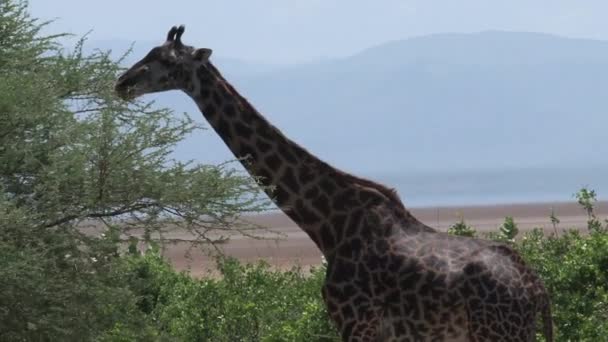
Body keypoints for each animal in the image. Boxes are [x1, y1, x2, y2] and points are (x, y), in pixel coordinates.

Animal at [113, 25, 552, 340]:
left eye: (164, 59)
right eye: (149, 53)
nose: (122, 83)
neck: (328, 224)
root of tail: (536, 291)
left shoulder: (357, 323)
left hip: (496, 332)